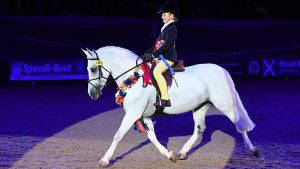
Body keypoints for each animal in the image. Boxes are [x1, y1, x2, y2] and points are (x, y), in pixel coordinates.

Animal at [81, 45, 258, 167]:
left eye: (93, 68)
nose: (92, 94)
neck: (134, 77)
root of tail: (222, 70)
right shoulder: (144, 115)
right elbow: (152, 137)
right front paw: (169, 155)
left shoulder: (133, 113)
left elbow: (118, 135)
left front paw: (104, 160)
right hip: (200, 106)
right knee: (200, 129)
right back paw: (182, 153)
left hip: (225, 105)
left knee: (239, 124)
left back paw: (252, 150)